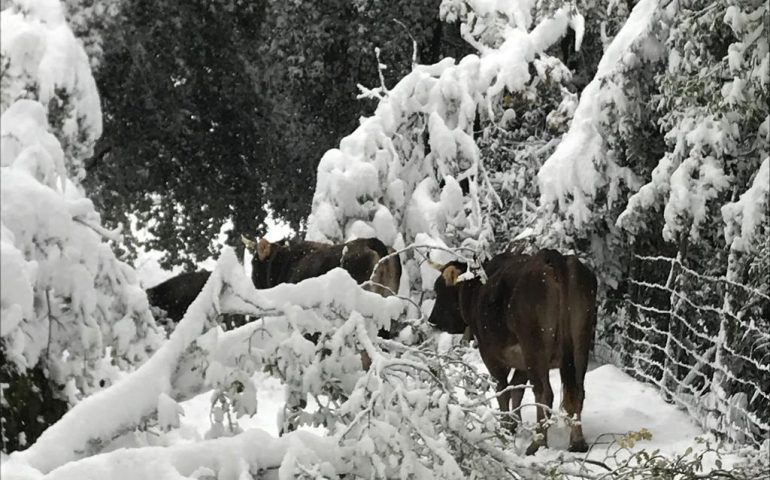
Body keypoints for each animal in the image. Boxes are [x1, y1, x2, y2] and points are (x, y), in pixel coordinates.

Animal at [426, 249, 592, 456]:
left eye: (440, 288)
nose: (432, 321)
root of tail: (555, 257)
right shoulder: (521, 361)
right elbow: (516, 389)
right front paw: (513, 424)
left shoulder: (490, 354)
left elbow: (502, 389)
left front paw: (505, 427)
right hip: (580, 346)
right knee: (577, 391)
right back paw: (577, 443)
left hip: (534, 347)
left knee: (544, 393)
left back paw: (537, 444)